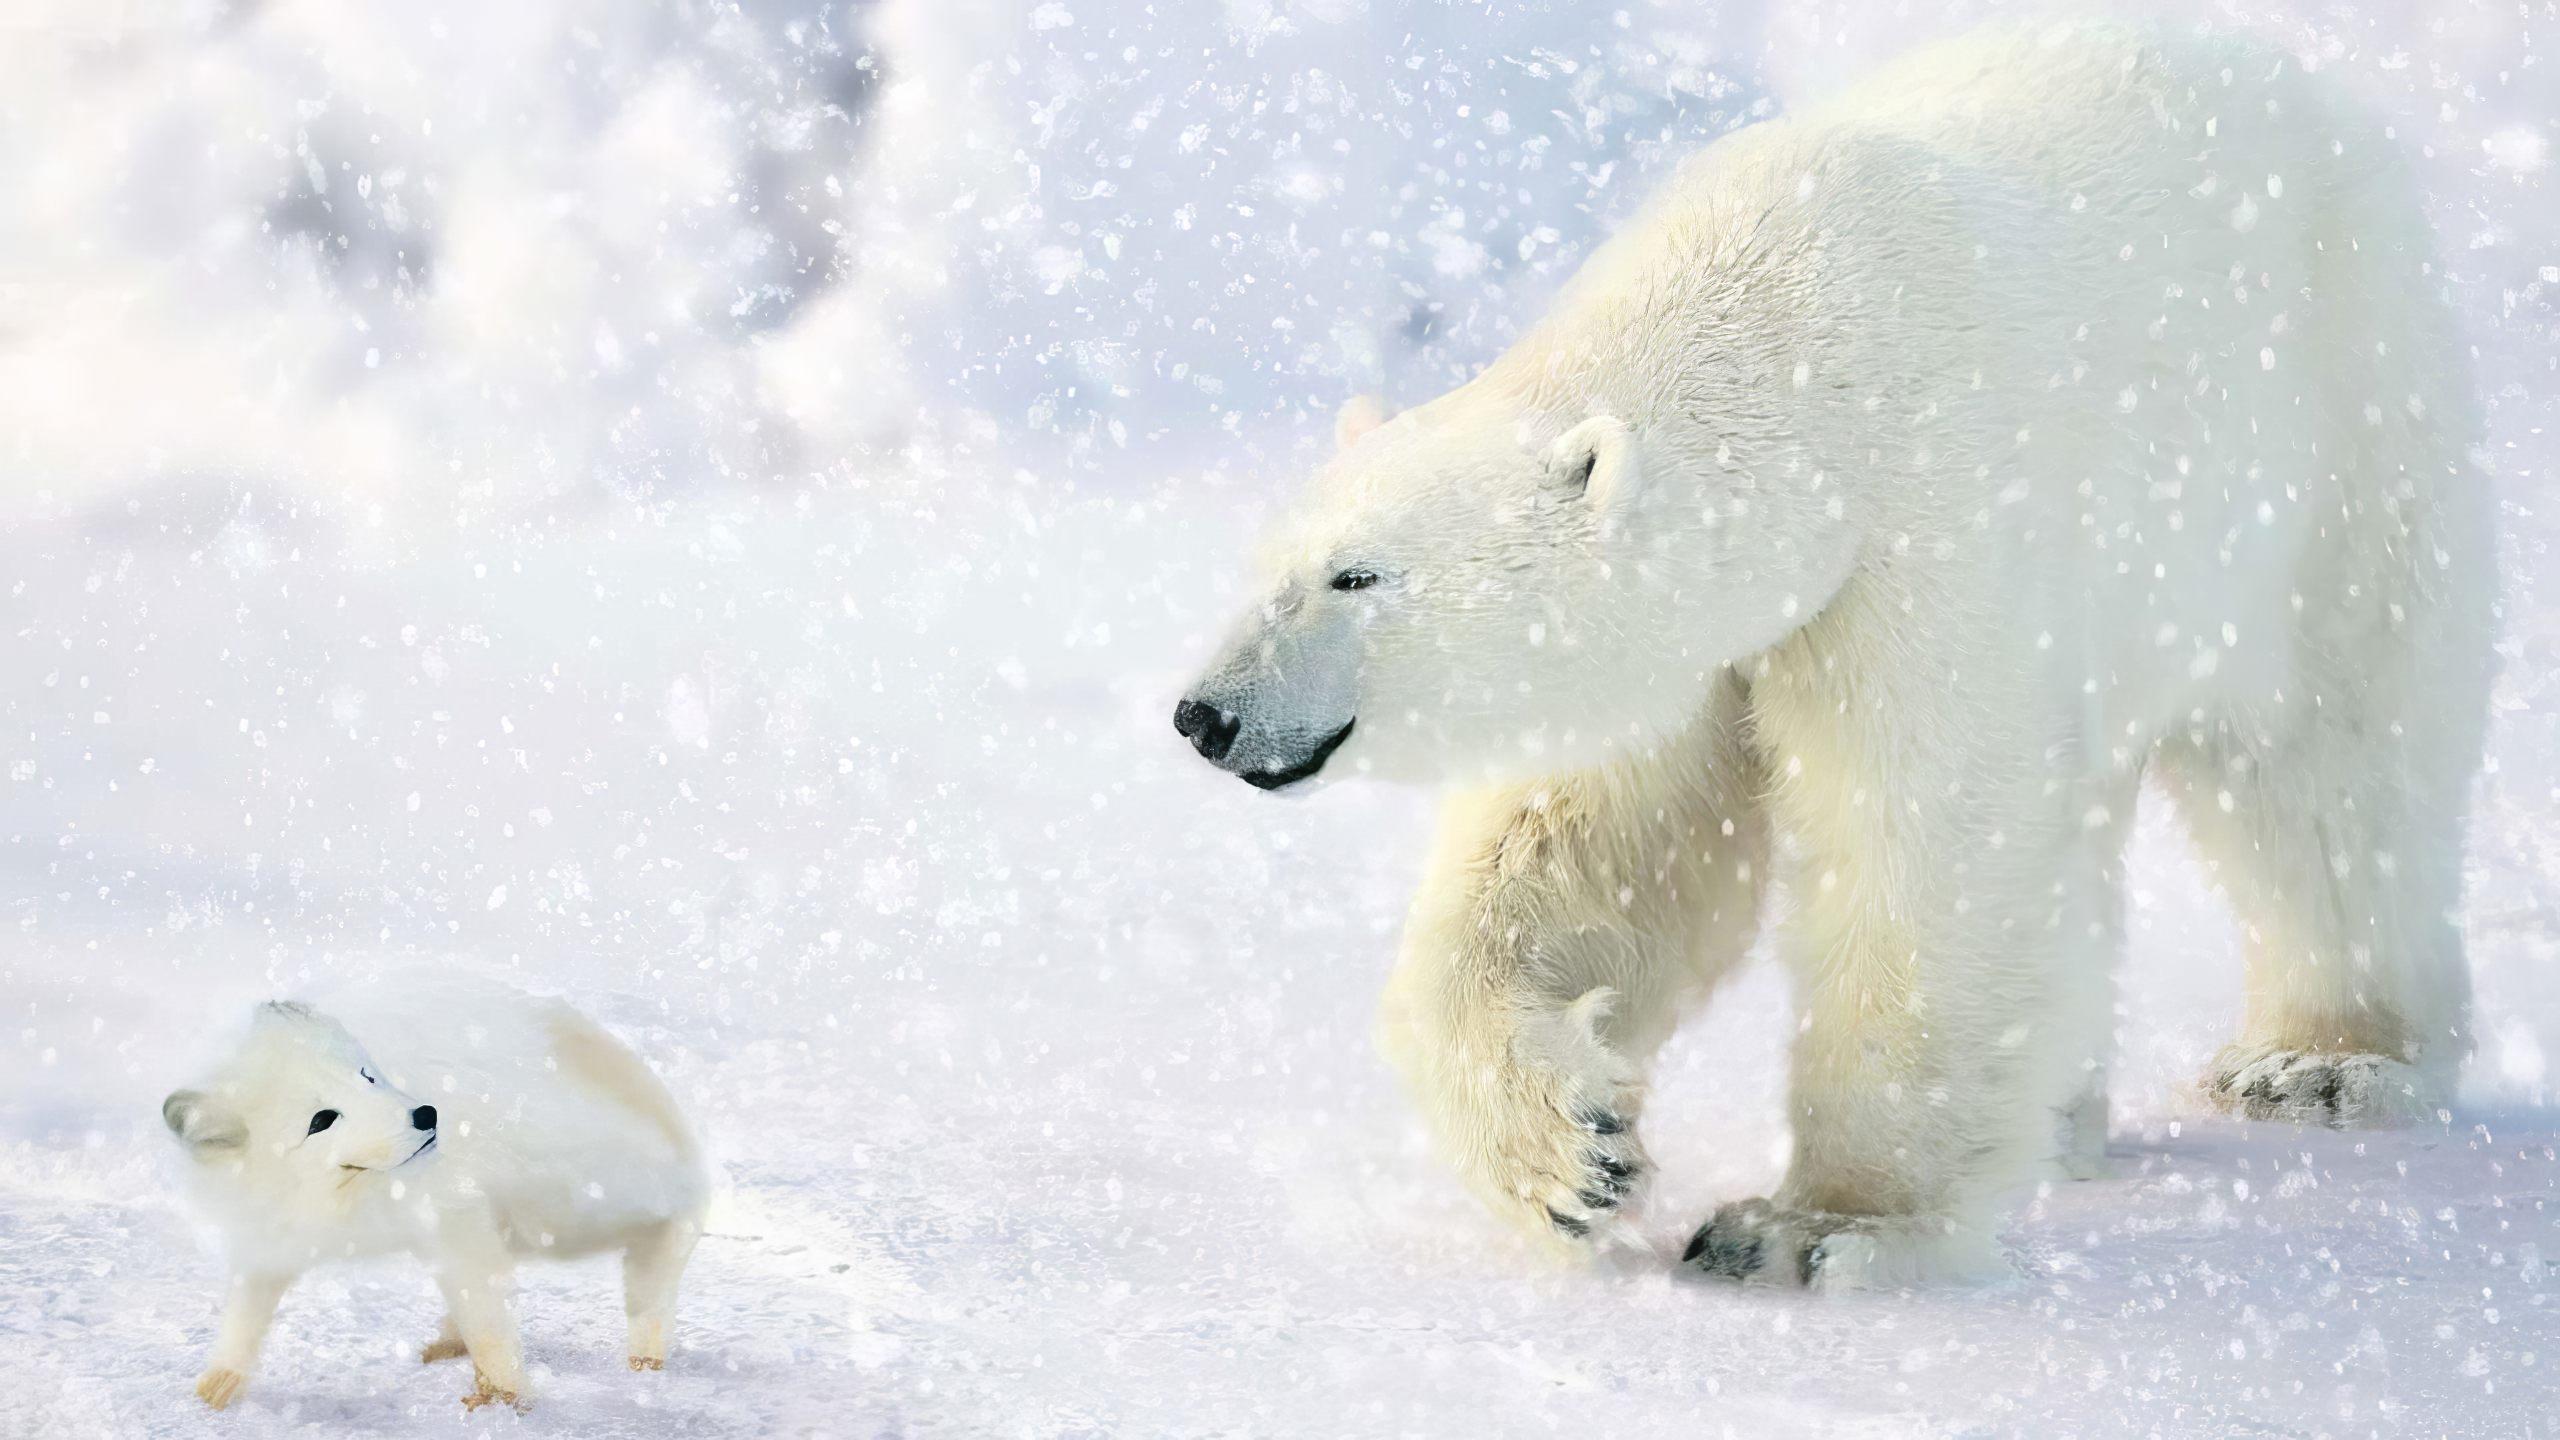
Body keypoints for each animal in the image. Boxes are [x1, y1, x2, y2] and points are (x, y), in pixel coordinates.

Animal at [163, 968, 706, 1404]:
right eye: (322, 1120)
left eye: (366, 1077)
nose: (426, 1114)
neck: (343, 1201)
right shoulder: (266, 1233)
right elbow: (243, 1315)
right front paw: (216, 1389)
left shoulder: (450, 1217)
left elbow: (489, 1323)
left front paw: (506, 1399)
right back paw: (447, 1343)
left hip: (587, 1200)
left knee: (664, 1252)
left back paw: (646, 1356)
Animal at [1172, 19, 2478, 1276]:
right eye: (1265, 564)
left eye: (1355, 576)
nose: (1205, 714)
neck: (1796, 345)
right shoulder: (1701, 652)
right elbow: (1597, 855)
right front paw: (1573, 1153)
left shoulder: (1925, 537)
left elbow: (1926, 845)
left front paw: (1811, 1229)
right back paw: (2067, 1119)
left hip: (2331, 450)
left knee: (2330, 777)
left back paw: (2320, 1061)